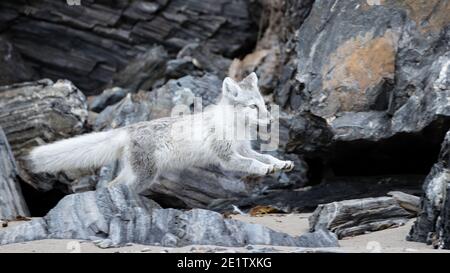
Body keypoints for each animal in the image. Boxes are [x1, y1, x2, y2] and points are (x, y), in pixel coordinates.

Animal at [29, 72, 296, 191]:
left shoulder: (244, 149)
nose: (271, 119)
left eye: (263, 104)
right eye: (253, 107)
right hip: (144, 176)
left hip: (137, 173)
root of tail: (128, 128)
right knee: (115, 187)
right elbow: (251, 164)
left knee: (112, 184)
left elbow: (265, 156)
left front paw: (281, 164)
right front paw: (264, 169)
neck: (235, 127)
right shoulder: (228, 157)